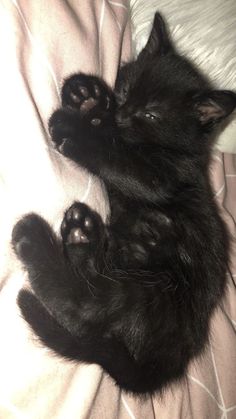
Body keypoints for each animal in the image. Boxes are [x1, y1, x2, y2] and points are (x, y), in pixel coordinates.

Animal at [12, 12, 236, 394]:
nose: (123, 112)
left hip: (151, 291)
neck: (183, 151)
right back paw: (80, 235)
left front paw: (74, 128)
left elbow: (114, 155)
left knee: (86, 306)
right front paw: (88, 95)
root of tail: (167, 362)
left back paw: (36, 239)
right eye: (126, 90)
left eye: (151, 115)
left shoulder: (163, 177)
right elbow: (109, 133)